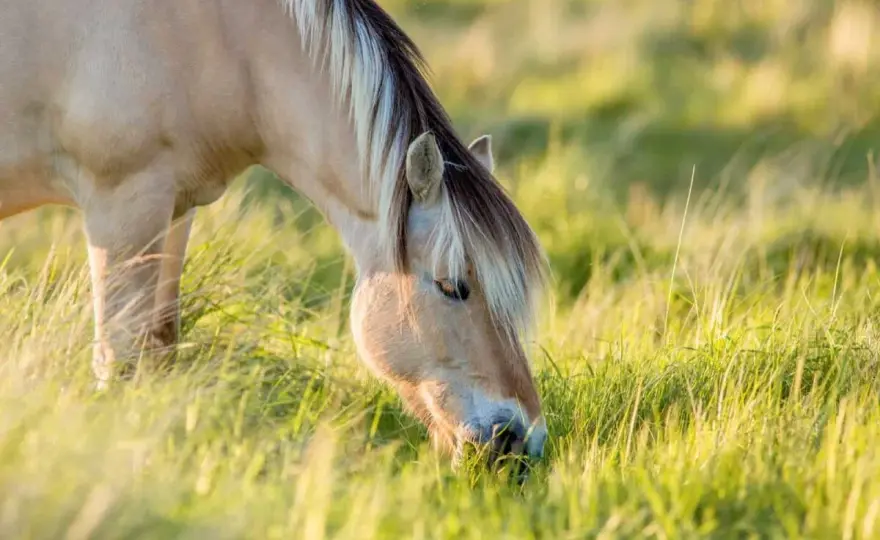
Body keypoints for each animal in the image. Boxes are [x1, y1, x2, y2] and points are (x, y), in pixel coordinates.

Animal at [0, 0, 550, 465]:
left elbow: (161, 343)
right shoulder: (122, 204)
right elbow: (121, 360)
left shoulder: (172, 210)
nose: (522, 440)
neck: (215, 38)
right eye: (452, 286)